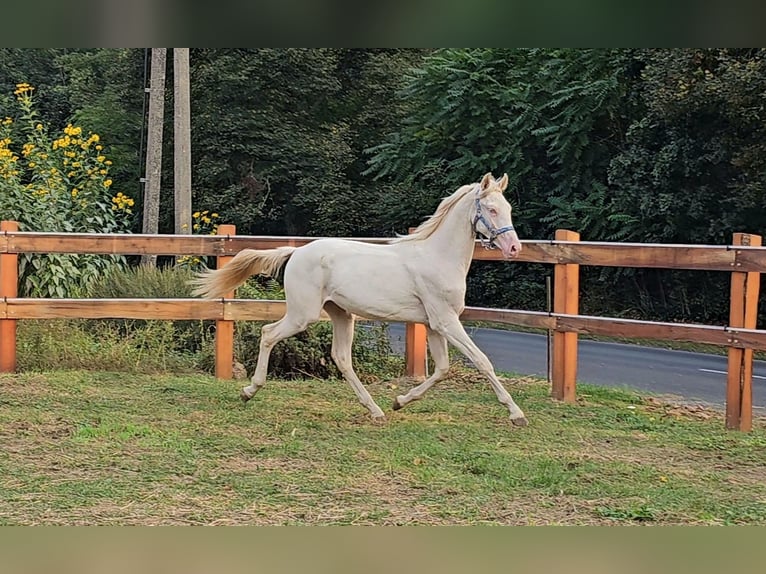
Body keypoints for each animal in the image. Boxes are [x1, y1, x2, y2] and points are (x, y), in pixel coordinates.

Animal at [191, 174, 528, 428]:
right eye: (492, 209)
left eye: (508, 208)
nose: (514, 248)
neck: (437, 257)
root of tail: (296, 252)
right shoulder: (446, 321)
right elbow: (482, 361)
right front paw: (516, 414)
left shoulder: (434, 324)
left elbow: (442, 369)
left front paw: (399, 401)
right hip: (303, 314)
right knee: (268, 334)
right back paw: (249, 391)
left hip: (341, 314)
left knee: (341, 357)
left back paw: (375, 410)